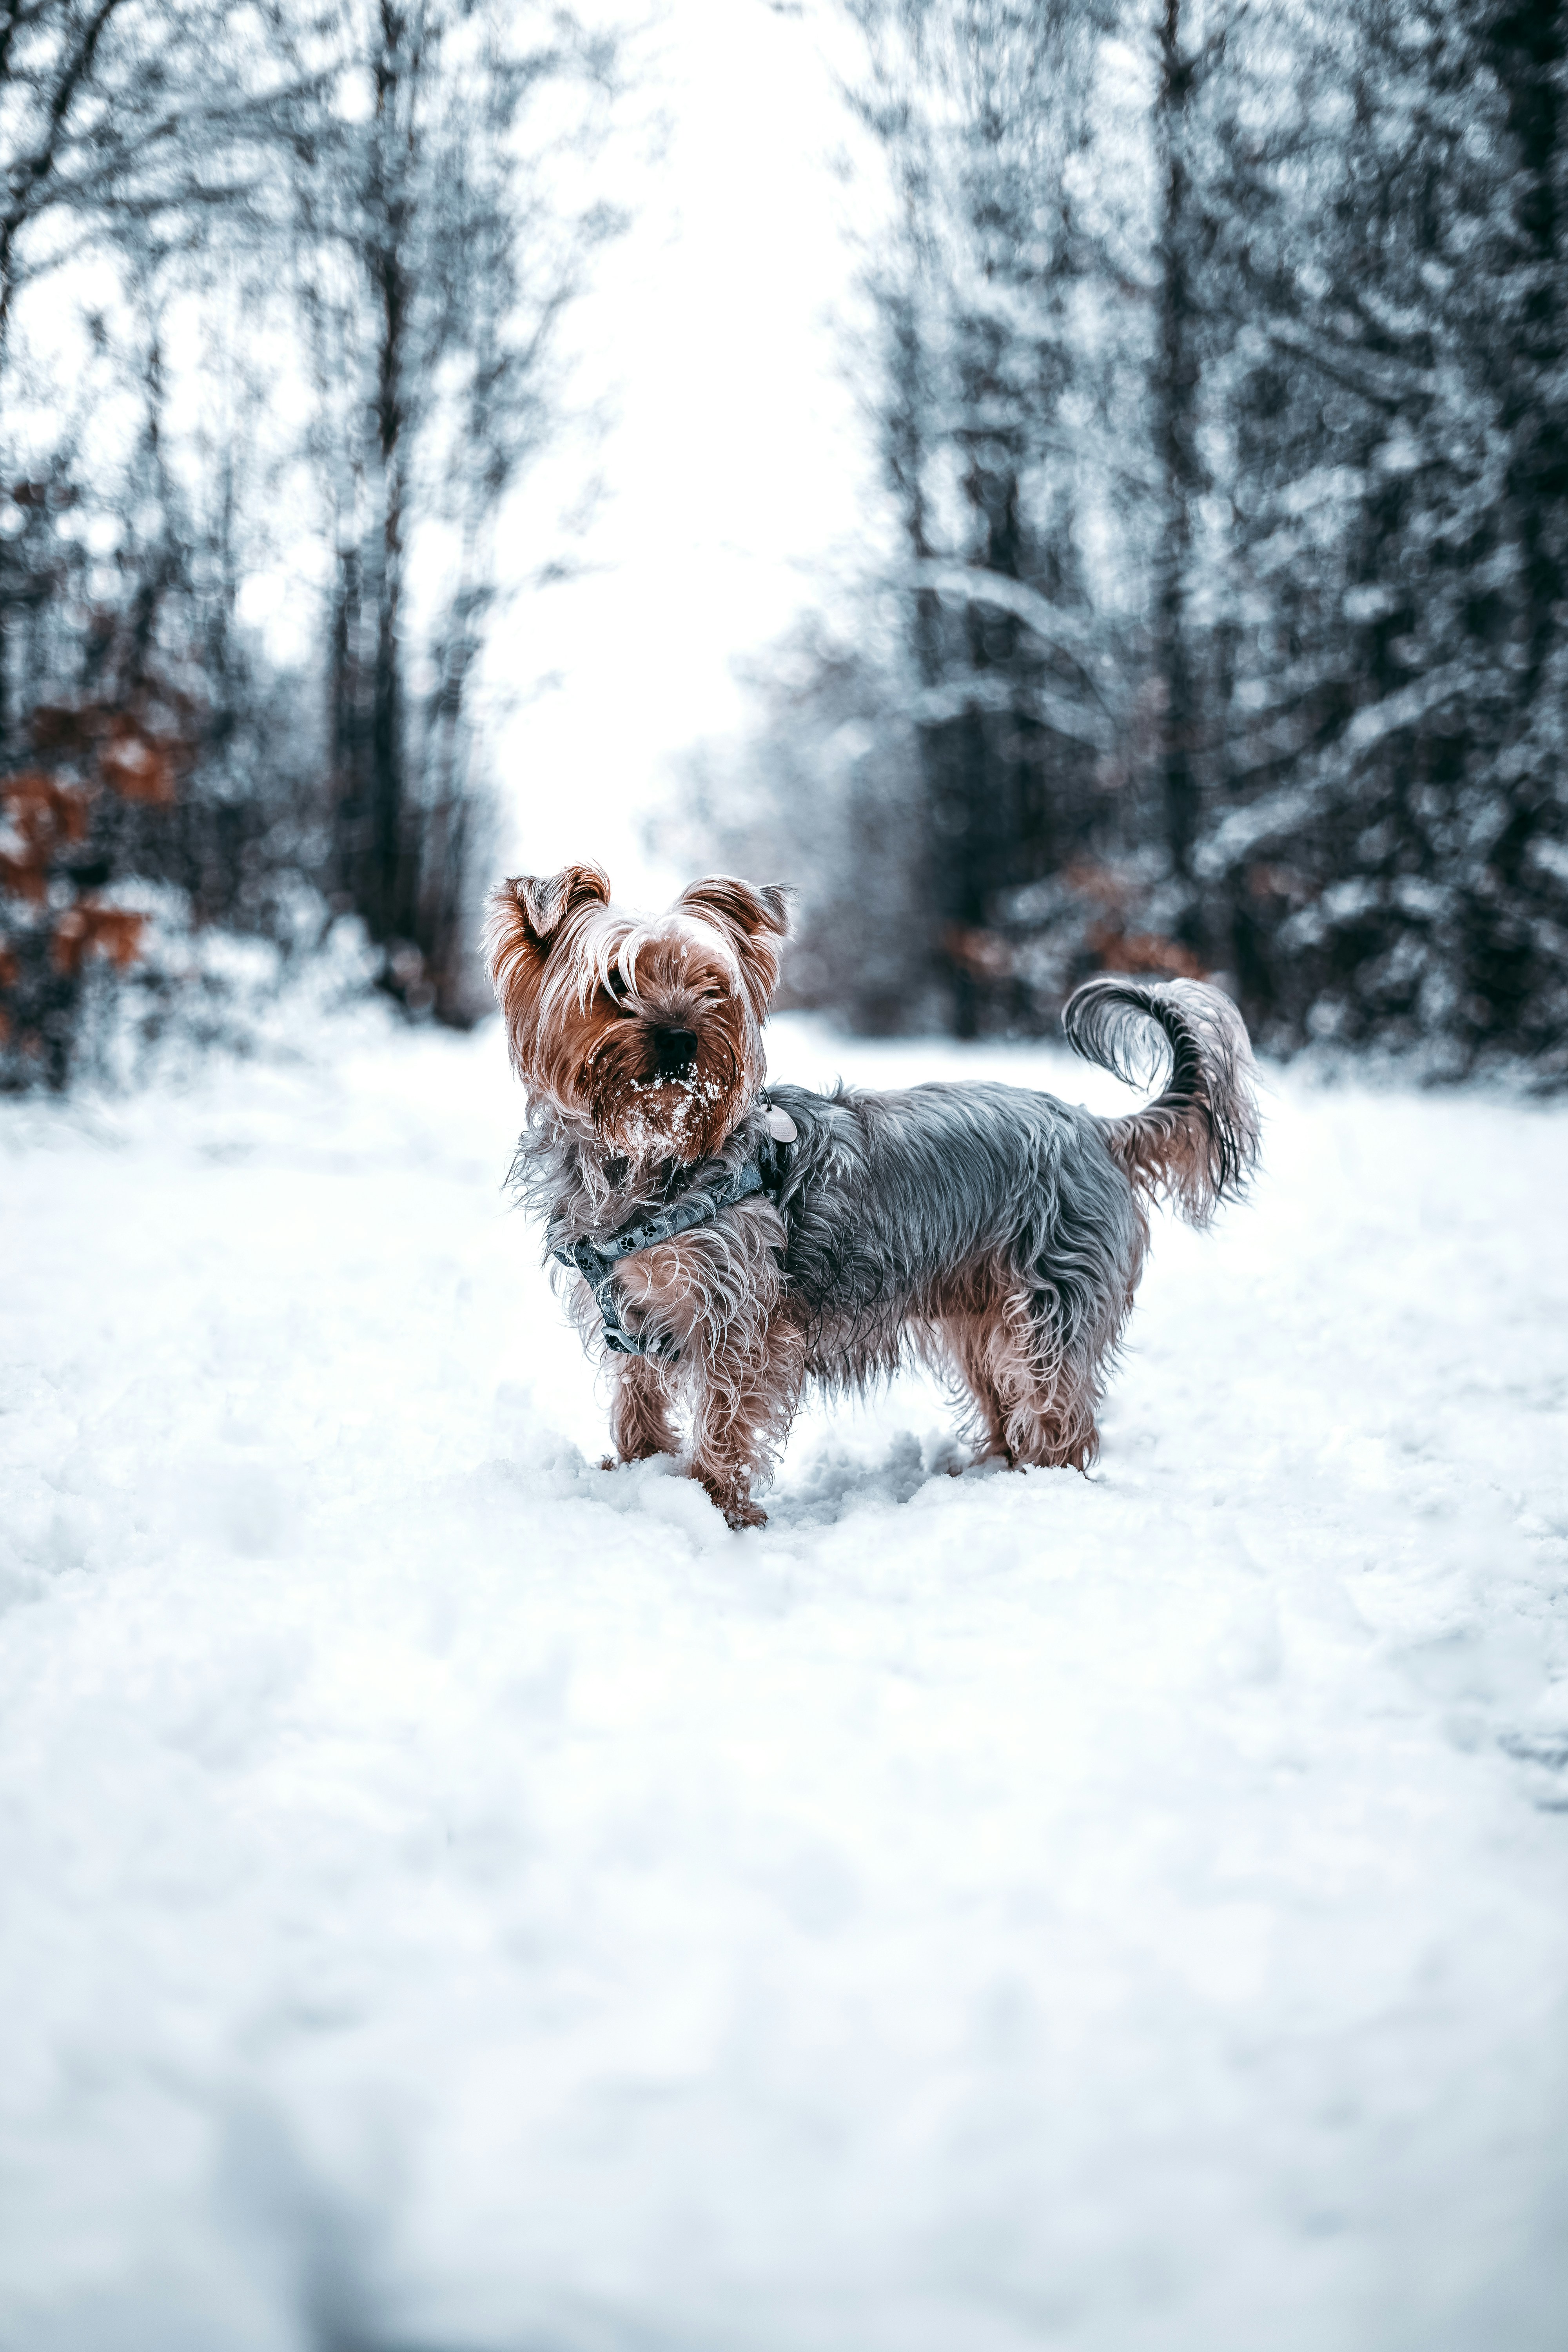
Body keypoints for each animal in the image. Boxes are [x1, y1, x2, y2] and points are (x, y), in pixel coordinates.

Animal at [491, 866, 1260, 1524]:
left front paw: (716, 1507)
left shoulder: (739, 1318)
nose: (682, 1037)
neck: (648, 1157)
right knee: (1006, 1399)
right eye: (615, 982)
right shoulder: (633, 1310)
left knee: (1055, 1408)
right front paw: (639, 1471)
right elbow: (638, 1399)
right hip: (980, 1313)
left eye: (712, 987)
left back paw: (1043, 1489)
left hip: (1048, 1302)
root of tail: (1099, 1129)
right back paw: (993, 1474)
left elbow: (726, 1418)